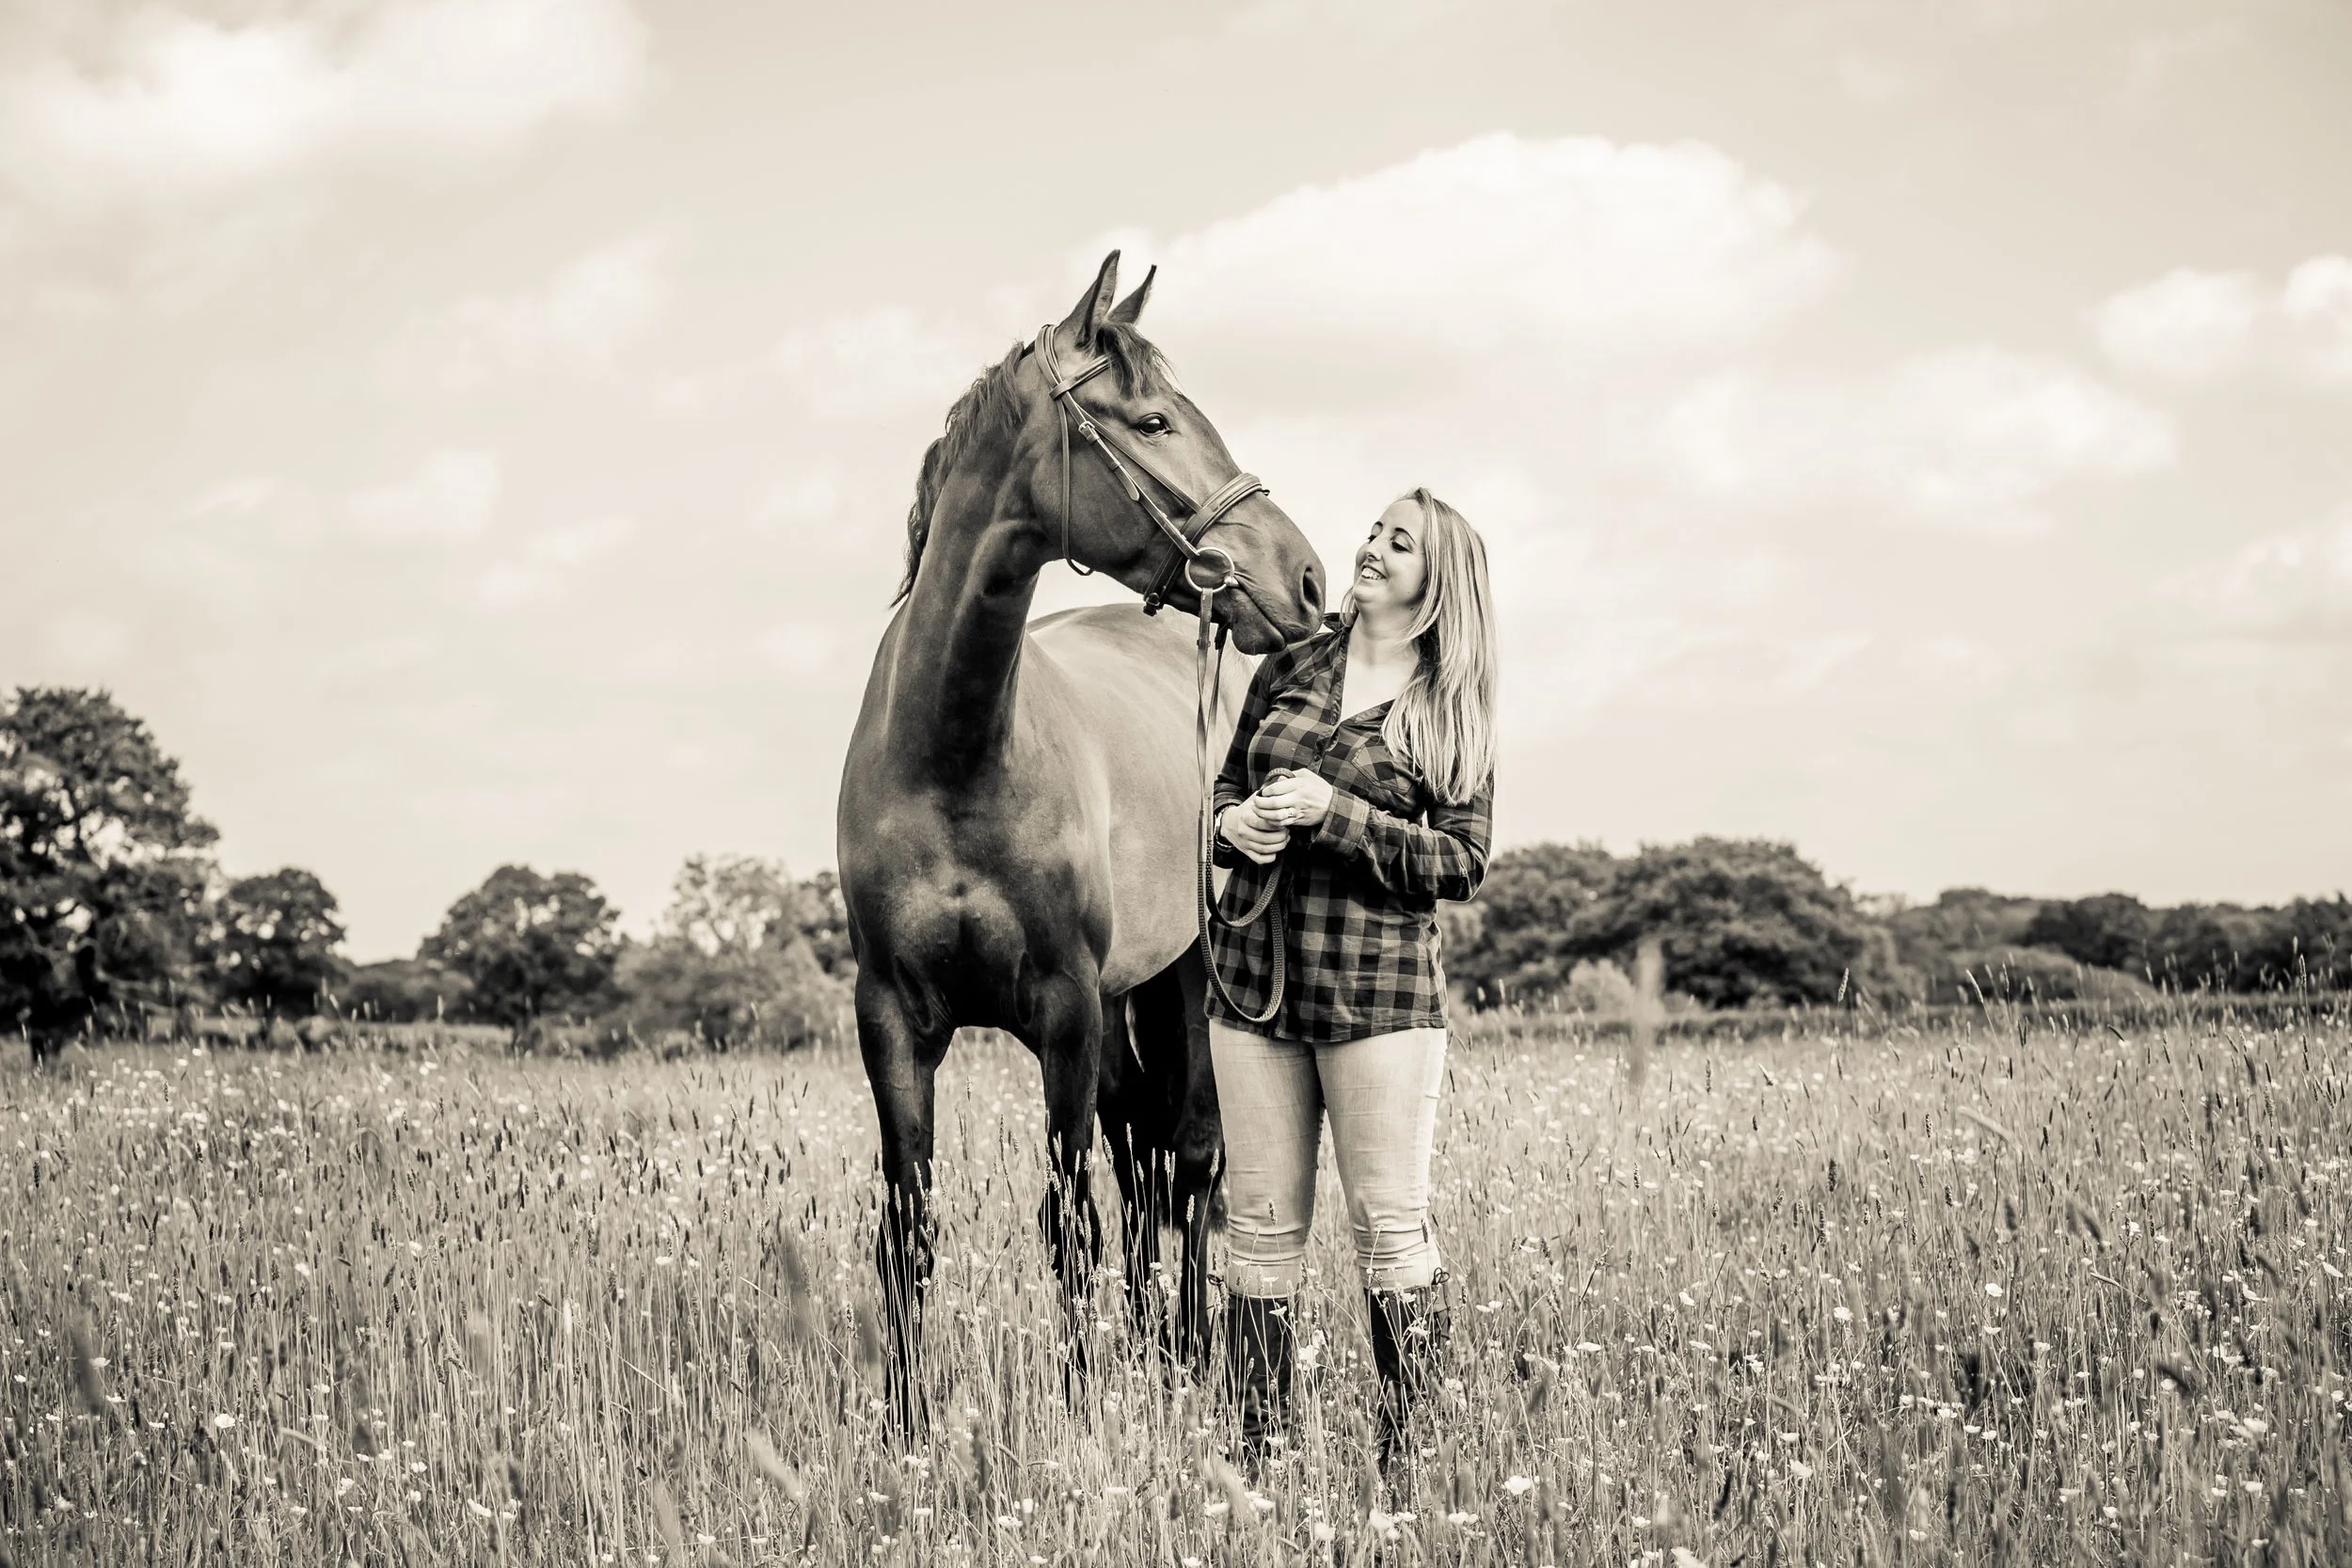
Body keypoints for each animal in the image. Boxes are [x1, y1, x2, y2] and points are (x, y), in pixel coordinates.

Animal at [837, 252, 1326, 1429]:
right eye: (1150, 419)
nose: (1304, 579)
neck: (956, 755)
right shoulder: (891, 1020)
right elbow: (908, 1228)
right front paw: (909, 1424)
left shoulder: (1063, 1008)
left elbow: (1070, 1223)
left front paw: (1079, 1405)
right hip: (1121, 1005)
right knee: (1140, 1157)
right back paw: (1151, 1339)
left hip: (1183, 980)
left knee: (1188, 1158)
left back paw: (1186, 1349)